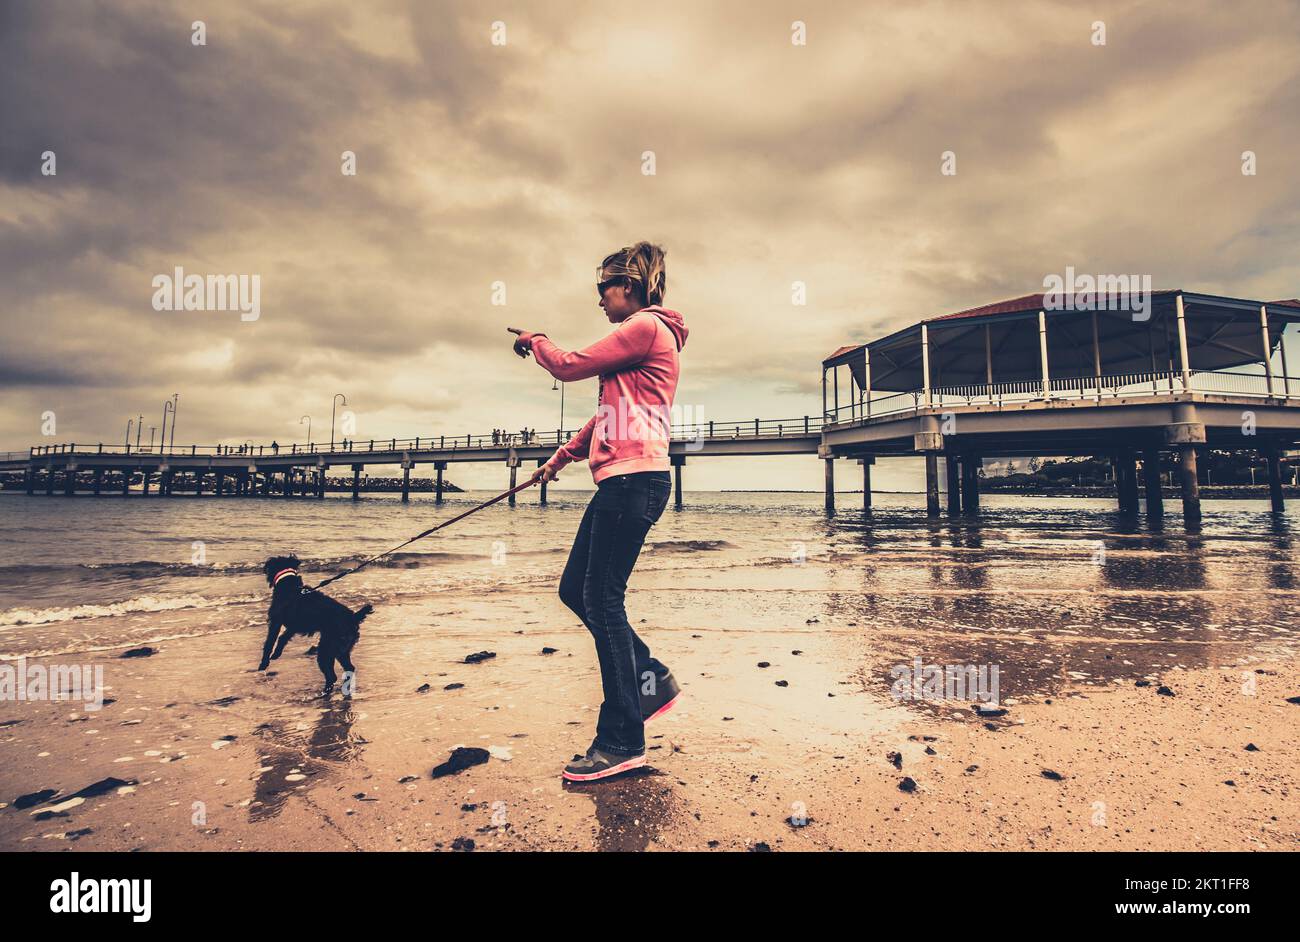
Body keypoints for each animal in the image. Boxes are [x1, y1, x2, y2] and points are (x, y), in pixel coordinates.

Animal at [257, 556, 371, 696]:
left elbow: (269, 643)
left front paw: (264, 663)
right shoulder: (293, 626)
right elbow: (283, 638)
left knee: (332, 675)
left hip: (327, 648)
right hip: (341, 648)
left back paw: (325, 692)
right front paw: (276, 654)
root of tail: (353, 617)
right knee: (349, 668)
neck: (289, 586)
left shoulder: (276, 623)